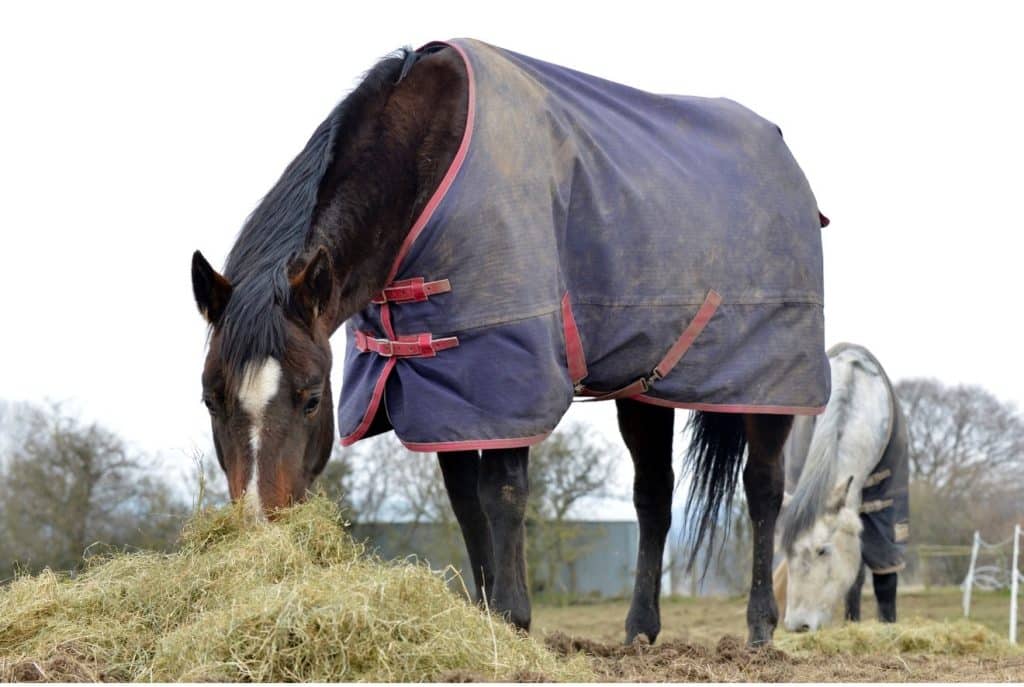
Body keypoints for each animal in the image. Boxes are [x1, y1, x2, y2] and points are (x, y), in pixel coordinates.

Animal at [192, 38, 831, 651]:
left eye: (310, 399)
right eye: (210, 401)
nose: (257, 530)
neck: (423, 167)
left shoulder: (503, 380)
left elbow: (502, 493)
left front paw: (513, 618)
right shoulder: (438, 391)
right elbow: (465, 501)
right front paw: (485, 616)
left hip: (770, 387)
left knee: (764, 490)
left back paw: (759, 629)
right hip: (644, 388)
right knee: (653, 494)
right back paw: (639, 631)